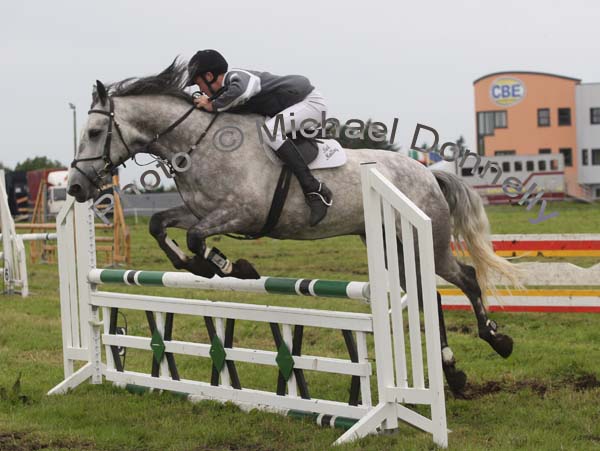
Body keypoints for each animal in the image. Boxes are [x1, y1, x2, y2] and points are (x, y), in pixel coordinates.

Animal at [69, 61, 520, 396]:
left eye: (94, 132)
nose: (75, 187)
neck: (199, 142)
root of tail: (427, 172)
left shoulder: (241, 213)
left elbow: (198, 239)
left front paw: (231, 267)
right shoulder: (199, 210)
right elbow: (160, 225)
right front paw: (203, 267)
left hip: (427, 240)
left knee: (467, 279)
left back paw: (497, 341)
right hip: (392, 244)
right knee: (430, 297)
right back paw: (453, 374)